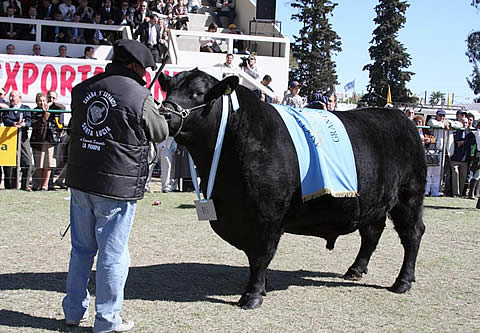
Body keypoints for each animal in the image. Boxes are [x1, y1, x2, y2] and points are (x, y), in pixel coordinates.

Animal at [159, 69, 426, 308]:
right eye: (168, 88)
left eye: (197, 93)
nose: (164, 113)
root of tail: (402, 118)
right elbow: (256, 257)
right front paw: (262, 287)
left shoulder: (267, 216)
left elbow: (260, 254)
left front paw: (252, 295)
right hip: (375, 201)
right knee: (372, 232)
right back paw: (355, 270)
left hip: (409, 195)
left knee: (412, 234)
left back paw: (402, 282)